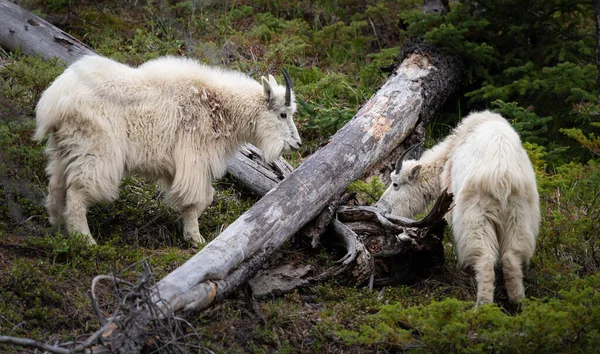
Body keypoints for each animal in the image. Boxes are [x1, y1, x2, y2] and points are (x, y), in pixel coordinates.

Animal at [34, 56, 300, 248]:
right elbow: (201, 197)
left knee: (57, 184)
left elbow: (204, 197)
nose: (296, 144)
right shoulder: (194, 160)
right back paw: (86, 240)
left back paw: (57, 225)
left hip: (65, 148)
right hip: (96, 151)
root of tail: (54, 100)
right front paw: (195, 238)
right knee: (78, 191)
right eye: (283, 114)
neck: (220, 108)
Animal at [376, 110, 540, 304]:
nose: (379, 207)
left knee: (485, 258)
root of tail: (502, 178)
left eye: (395, 184)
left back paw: (483, 305)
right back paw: (517, 303)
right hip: (519, 216)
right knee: (512, 257)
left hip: (476, 216)